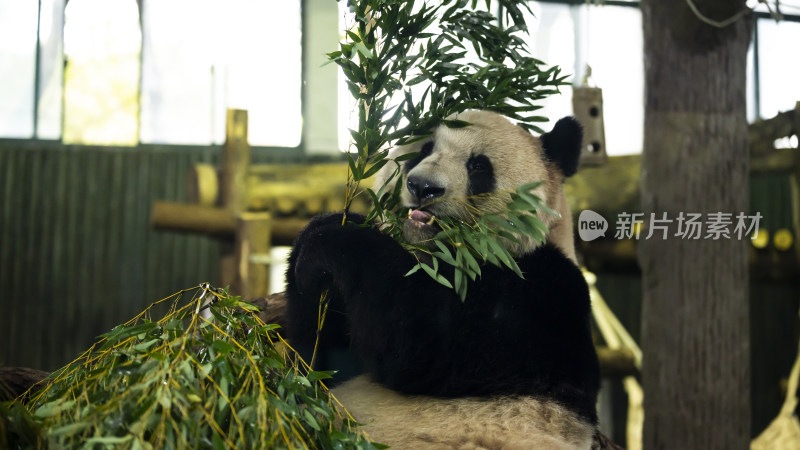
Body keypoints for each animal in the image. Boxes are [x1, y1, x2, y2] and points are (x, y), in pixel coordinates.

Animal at [284, 110, 596, 450]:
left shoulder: (542, 295)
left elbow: (421, 343)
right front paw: (315, 250)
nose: (422, 187)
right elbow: (314, 358)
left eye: (479, 166)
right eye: (425, 149)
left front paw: (335, 237)